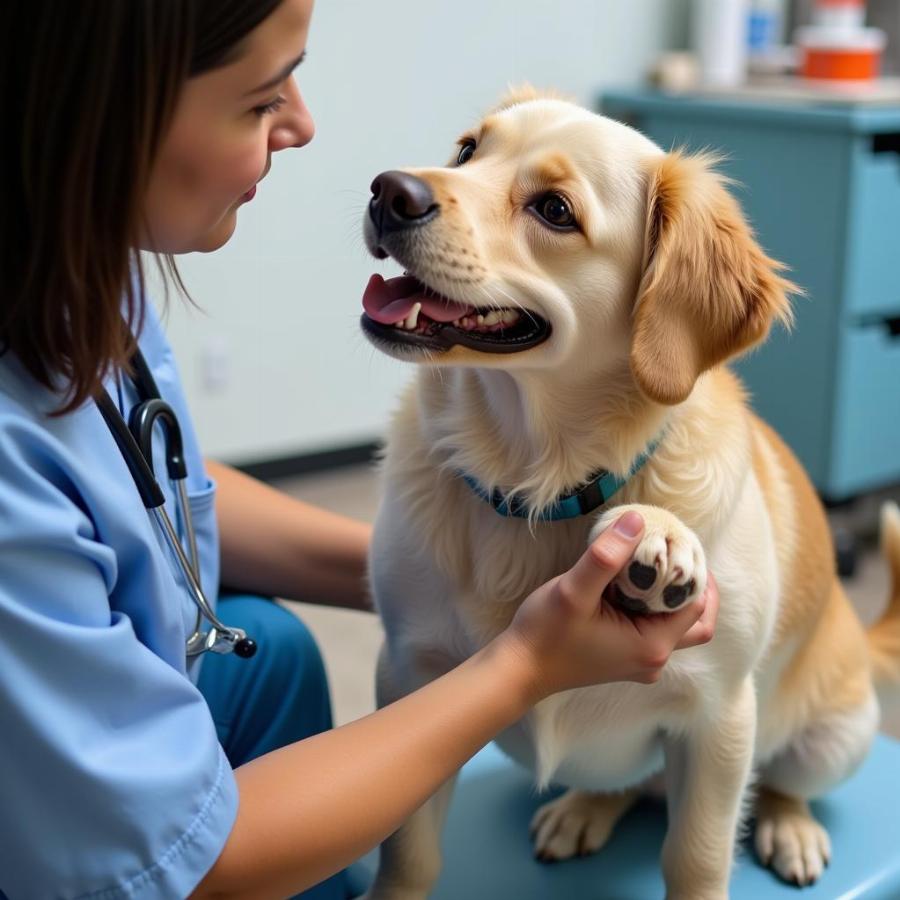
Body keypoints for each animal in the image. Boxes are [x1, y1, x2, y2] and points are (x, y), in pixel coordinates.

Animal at [356, 86, 896, 900]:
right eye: (467, 150)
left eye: (554, 209)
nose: (389, 190)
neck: (533, 481)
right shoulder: (408, 677)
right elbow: (409, 851)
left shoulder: (719, 718)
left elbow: (697, 858)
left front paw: (660, 535)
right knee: (628, 785)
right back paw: (584, 808)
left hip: (833, 736)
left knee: (779, 781)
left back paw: (789, 825)